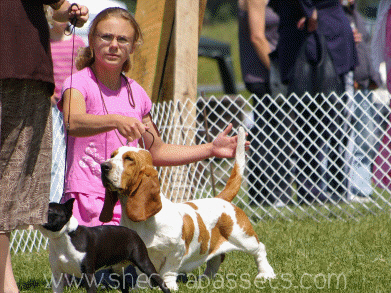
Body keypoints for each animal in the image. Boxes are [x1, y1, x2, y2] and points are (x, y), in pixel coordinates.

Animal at [39, 198, 172, 292]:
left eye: (49, 211)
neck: (64, 237)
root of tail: (133, 232)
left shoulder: (88, 275)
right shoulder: (57, 276)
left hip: (143, 262)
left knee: (161, 282)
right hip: (115, 270)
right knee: (125, 287)